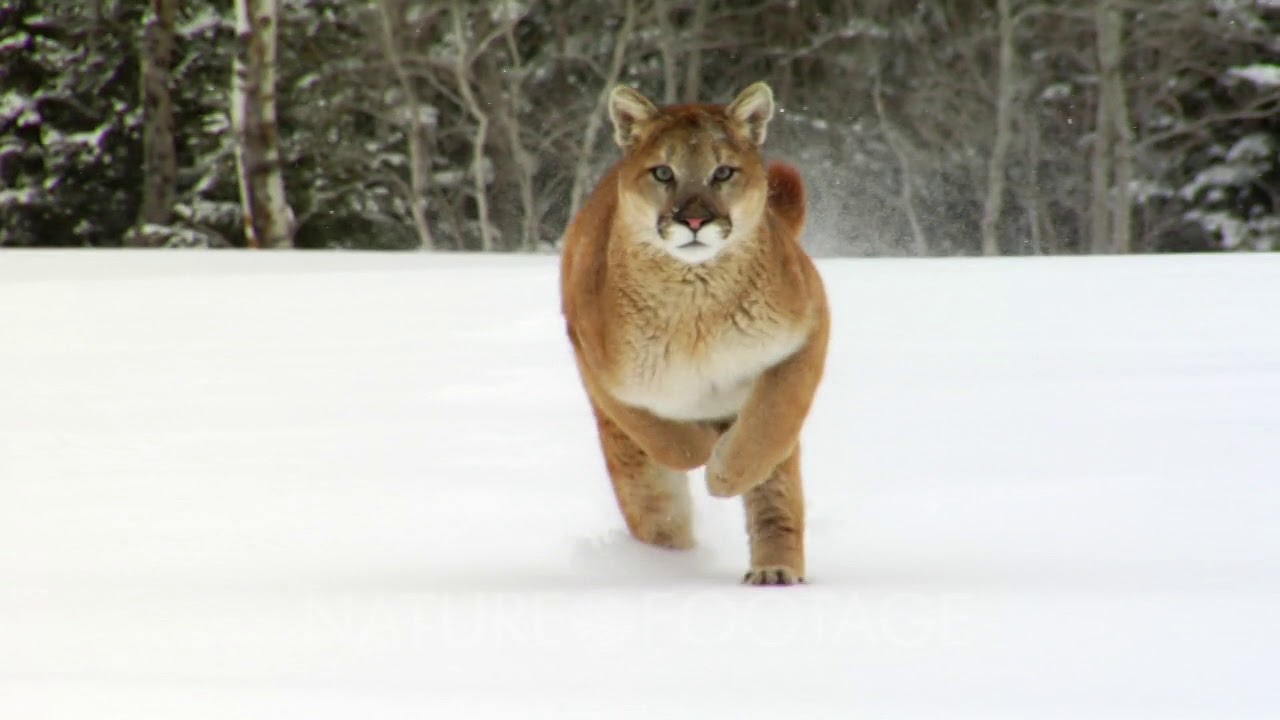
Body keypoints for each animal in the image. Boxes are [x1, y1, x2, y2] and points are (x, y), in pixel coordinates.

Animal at [559, 81, 829, 585]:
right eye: (663, 172)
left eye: (722, 172)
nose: (695, 220)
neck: (696, 301)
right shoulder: (601, 368)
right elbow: (665, 436)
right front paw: (705, 444)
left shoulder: (807, 328)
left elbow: (771, 421)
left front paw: (724, 469)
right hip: (633, 472)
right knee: (657, 513)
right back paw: (666, 570)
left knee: (774, 490)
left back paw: (775, 569)